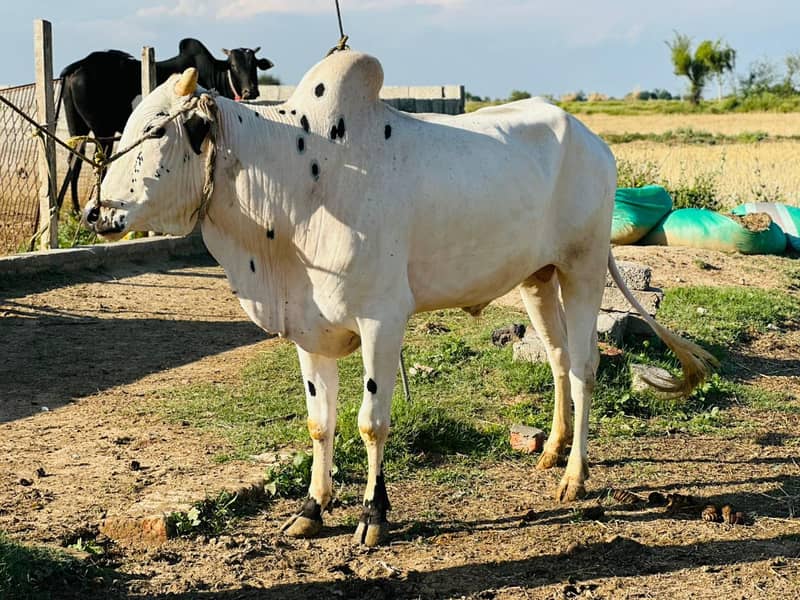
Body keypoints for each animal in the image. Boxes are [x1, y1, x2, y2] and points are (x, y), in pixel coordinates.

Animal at [58, 38, 274, 212]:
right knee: (98, 164)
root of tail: (78, 64)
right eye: (233, 65)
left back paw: (75, 211)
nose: (250, 91)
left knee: (74, 162)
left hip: (77, 126)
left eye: (254, 65)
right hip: (102, 130)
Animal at [83, 53, 717, 547]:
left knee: (585, 366)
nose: (94, 212)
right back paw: (552, 450)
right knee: (559, 359)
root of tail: (591, 139)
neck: (298, 182)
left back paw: (576, 475)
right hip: (538, 277)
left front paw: (374, 514)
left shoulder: (381, 321)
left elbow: (371, 423)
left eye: (158, 131)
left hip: (582, 267)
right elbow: (320, 423)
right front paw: (311, 510)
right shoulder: (309, 331)